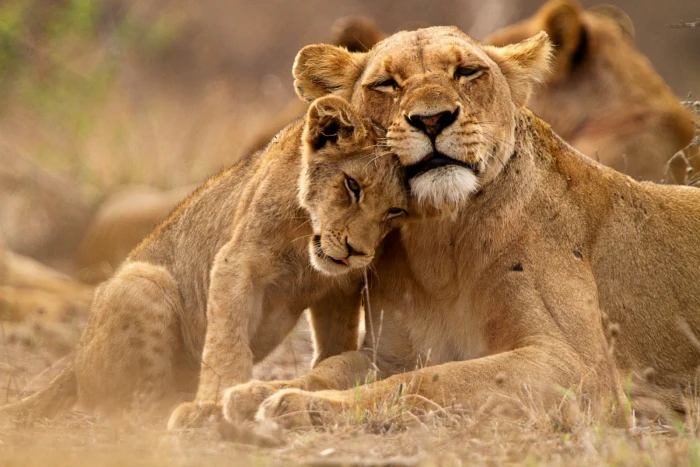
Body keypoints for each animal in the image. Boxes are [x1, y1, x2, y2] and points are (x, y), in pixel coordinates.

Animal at [1, 96, 408, 422]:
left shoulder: (339, 290)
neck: (306, 242)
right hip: (144, 281)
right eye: (352, 186)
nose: (357, 252)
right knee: (129, 406)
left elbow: (335, 345)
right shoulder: (236, 262)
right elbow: (228, 342)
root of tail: (73, 361)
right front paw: (215, 402)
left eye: (396, 211)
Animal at [218, 26, 700, 429]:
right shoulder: (391, 353)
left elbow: (432, 380)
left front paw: (300, 406)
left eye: (467, 72)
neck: (440, 242)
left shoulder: (580, 369)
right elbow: (331, 368)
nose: (432, 119)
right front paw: (257, 392)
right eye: (387, 83)